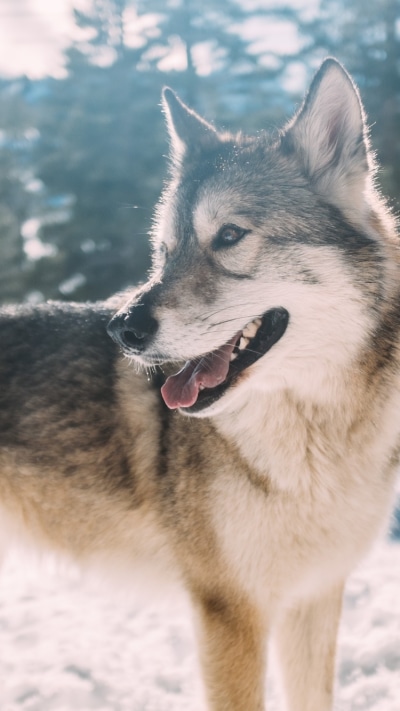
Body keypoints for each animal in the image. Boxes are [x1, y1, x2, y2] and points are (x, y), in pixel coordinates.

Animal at [0, 58, 399, 710]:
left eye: (230, 235)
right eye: (165, 252)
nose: (123, 327)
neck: (316, 441)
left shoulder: (314, 598)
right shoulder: (229, 611)